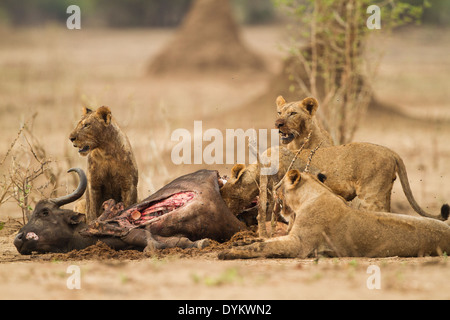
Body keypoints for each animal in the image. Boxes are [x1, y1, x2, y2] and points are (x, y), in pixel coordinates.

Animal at [218, 170, 450, 260]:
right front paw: (239, 242)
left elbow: (263, 247)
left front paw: (229, 252)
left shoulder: (299, 245)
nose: (273, 191)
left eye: (280, 184)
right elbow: (262, 241)